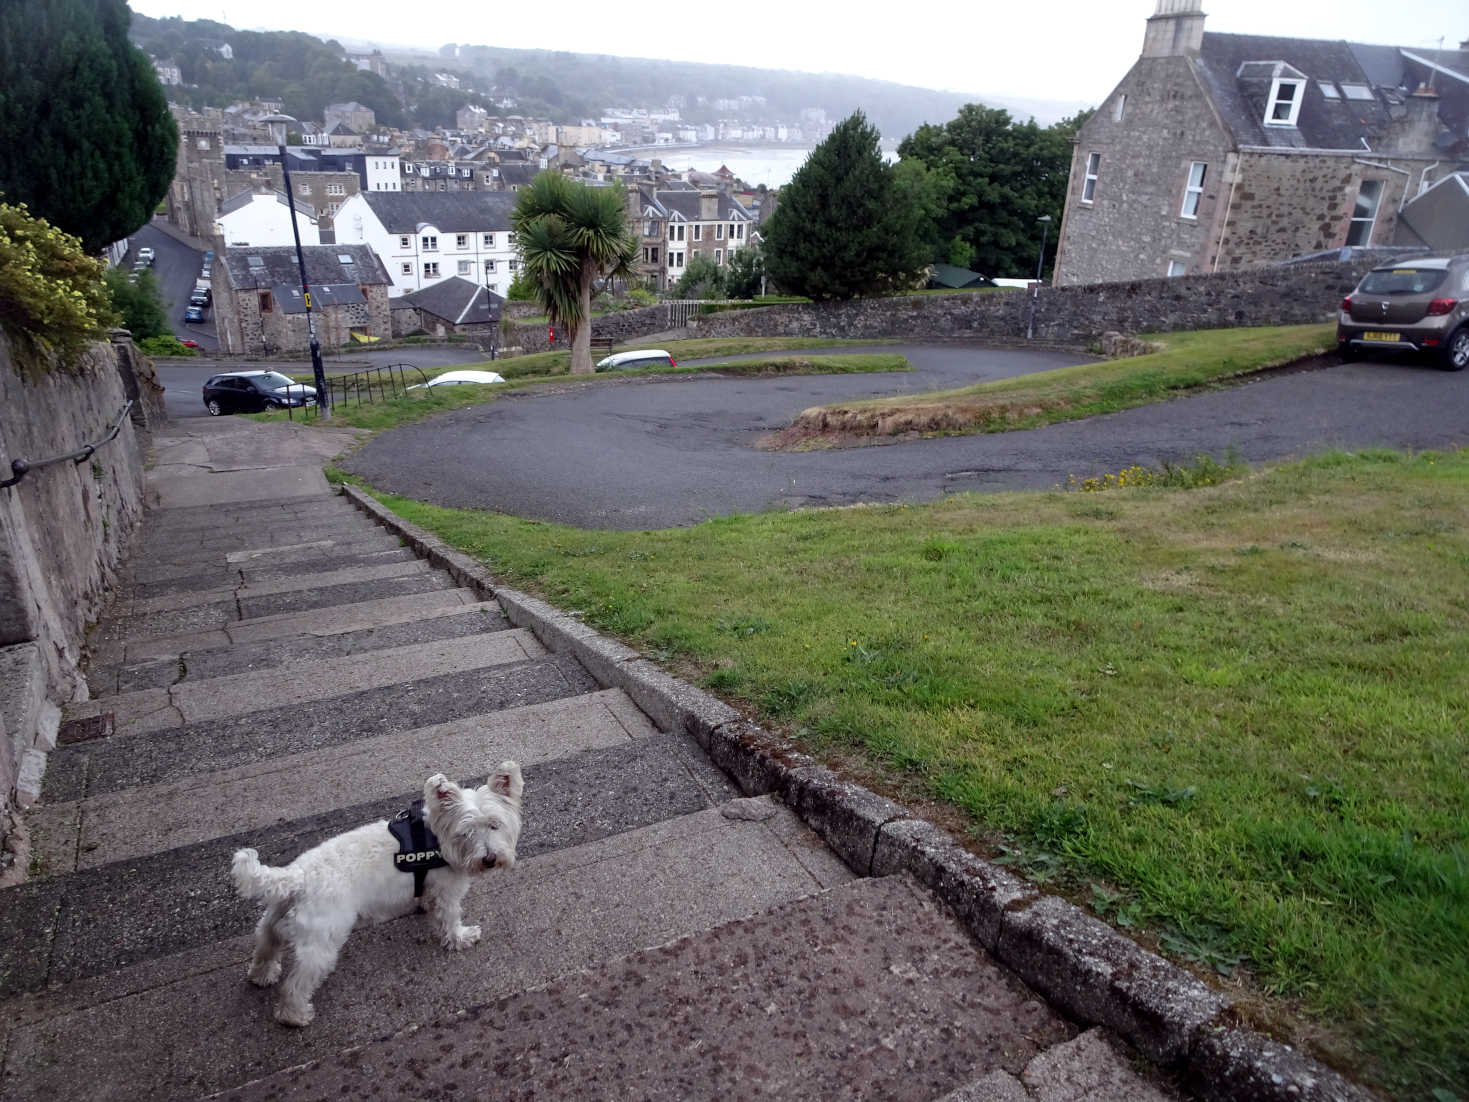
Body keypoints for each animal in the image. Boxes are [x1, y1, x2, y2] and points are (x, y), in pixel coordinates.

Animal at [229, 764, 522, 1034]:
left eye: (494, 824)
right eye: (466, 832)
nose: (489, 859)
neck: (437, 841)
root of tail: (298, 876)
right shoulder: (448, 893)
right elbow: (450, 921)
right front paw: (462, 938)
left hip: (273, 921)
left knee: (265, 945)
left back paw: (262, 975)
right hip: (321, 945)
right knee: (296, 985)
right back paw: (295, 1016)